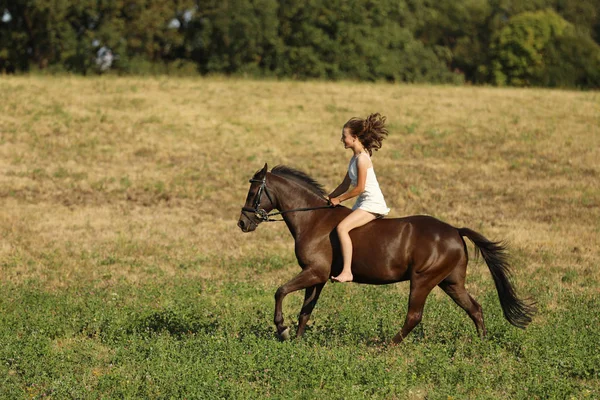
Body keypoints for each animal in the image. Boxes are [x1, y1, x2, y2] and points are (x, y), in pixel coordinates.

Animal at [237, 164, 536, 342]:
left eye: (253, 192)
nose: (243, 223)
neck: (312, 219)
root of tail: (454, 230)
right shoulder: (317, 278)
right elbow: (305, 311)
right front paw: (297, 341)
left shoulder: (314, 273)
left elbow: (280, 291)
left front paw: (282, 329)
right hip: (451, 283)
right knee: (474, 308)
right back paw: (481, 343)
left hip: (423, 280)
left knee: (414, 316)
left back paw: (385, 346)